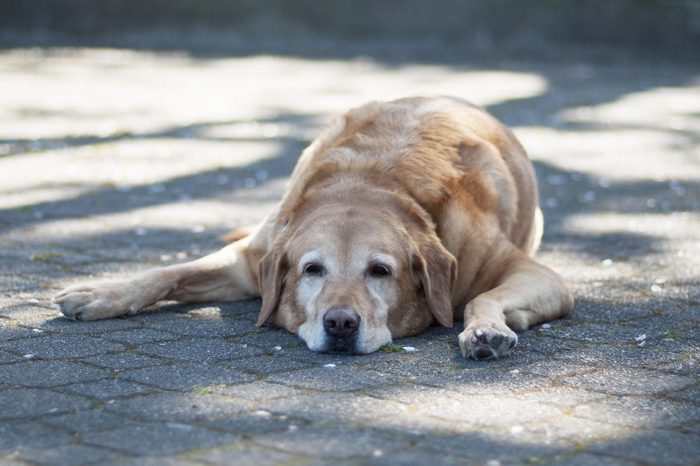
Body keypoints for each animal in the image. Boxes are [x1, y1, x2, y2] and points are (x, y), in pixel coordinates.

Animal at [56, 96, 576, 358]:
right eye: (312, 269)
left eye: (380, 271)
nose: (340, 323)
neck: (368, 184)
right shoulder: (251, 260)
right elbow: (168, 272)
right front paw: (103, 293)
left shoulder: (537, 274)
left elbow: (481, 298)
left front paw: (485, 329)